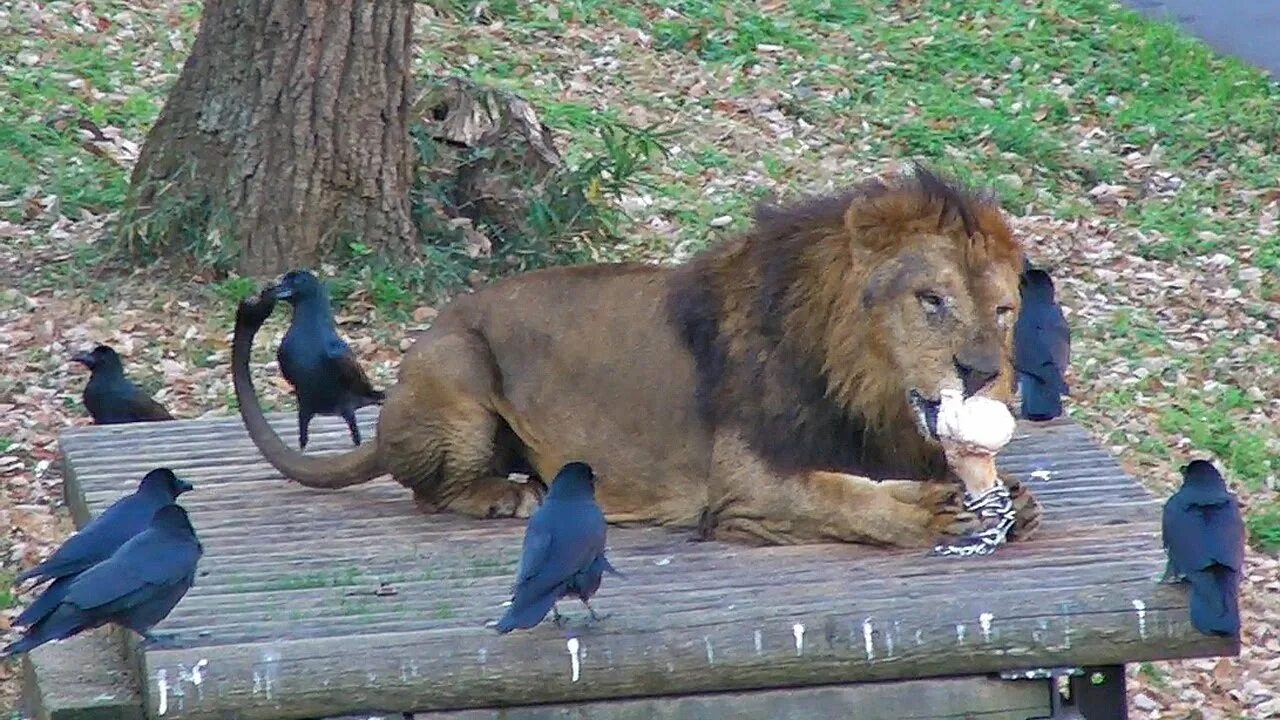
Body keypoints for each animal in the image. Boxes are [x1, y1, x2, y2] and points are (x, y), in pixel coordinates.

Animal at [232, 165, 1039, 545]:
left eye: (1003, 311)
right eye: (932, 300)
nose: (981, 373)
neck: (863, 387)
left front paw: (1011, 500)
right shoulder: (743, 485)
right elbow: (839, 496)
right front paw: (931, 514)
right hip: (457, 367)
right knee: (426, 490)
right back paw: (504, 493)